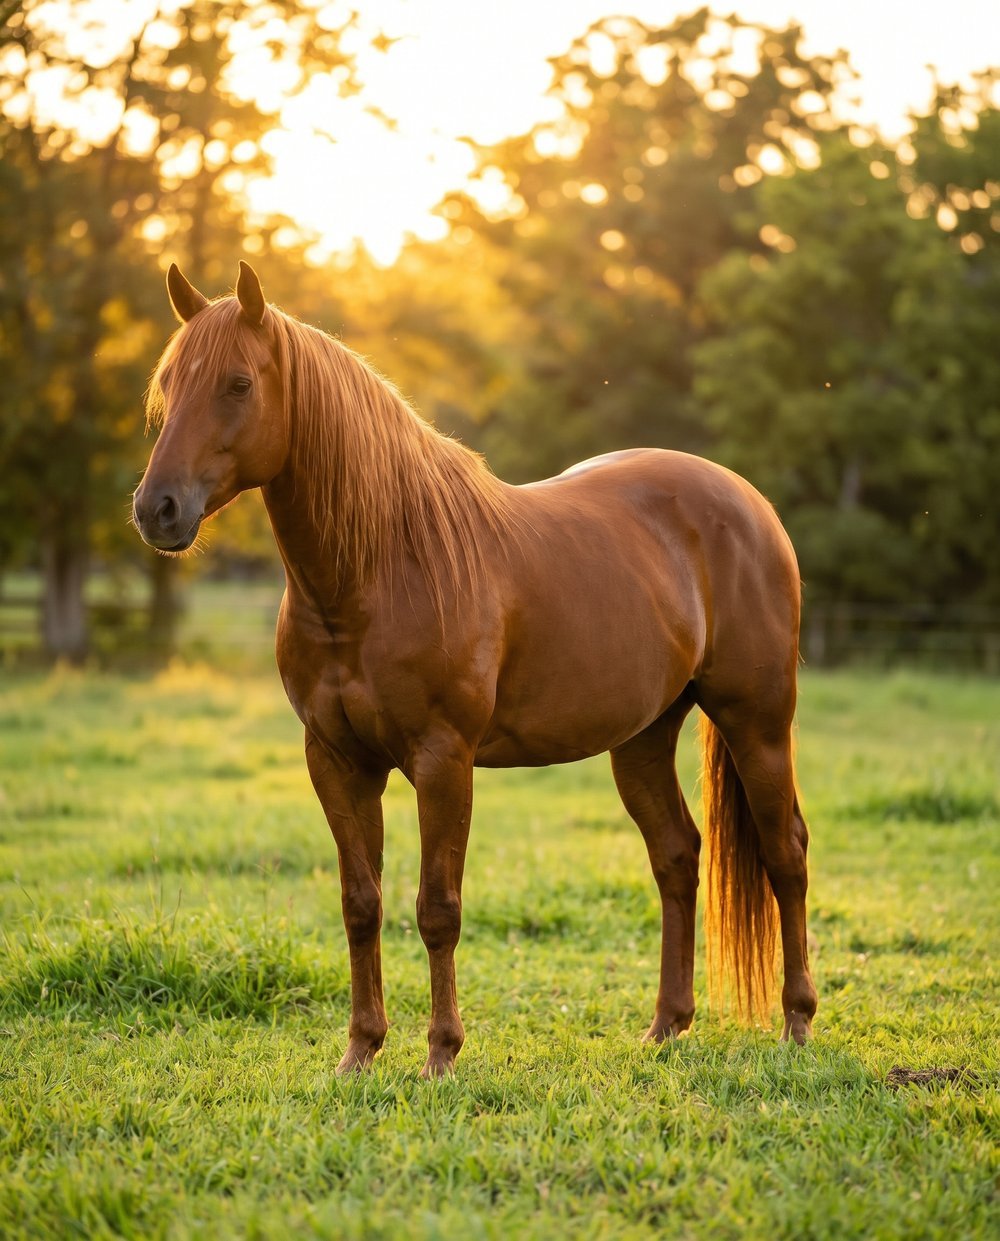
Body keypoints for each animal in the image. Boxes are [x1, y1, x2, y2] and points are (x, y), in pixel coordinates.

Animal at [133, 261, 818, 1077]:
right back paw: (664, 1027)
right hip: (643, 739)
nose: (156, 509)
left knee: (785, 853)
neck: (379, 569)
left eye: (237, 383)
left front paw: (440, 1055)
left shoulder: (442, 760)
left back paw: (797, 1024)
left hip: (758, 723)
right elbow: (360, 903)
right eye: (168, 384)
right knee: (677, 856)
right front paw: (360, 1053)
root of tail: (749, 503)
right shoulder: (335, 760)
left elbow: (437, 908)